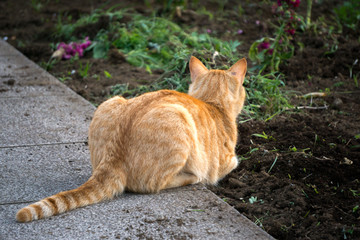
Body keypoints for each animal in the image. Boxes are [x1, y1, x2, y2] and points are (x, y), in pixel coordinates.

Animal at [15, 55, 246, 222]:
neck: (212, 102)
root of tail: (112, 157)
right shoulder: (224, 162)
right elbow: (233, 162)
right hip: (179, 121)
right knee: (154, 185)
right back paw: (193, 176)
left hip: (110, 102)